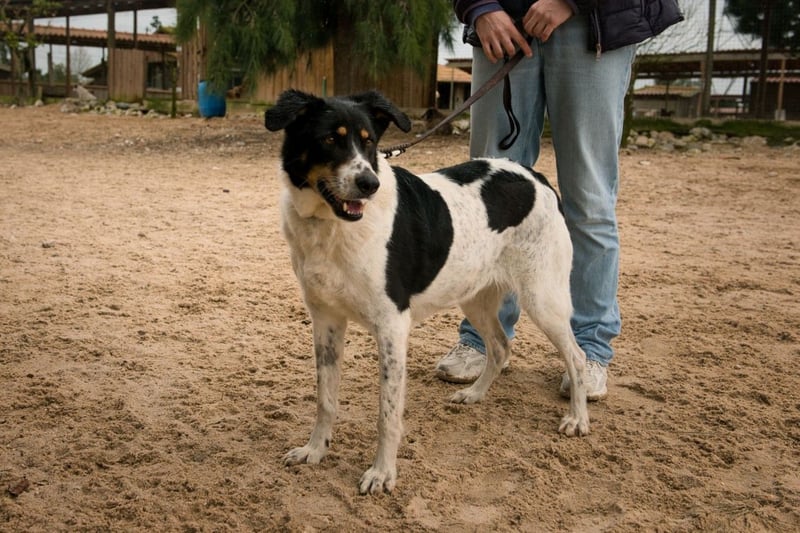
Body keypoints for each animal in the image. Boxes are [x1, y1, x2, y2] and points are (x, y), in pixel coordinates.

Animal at [264, 90, 589, 495]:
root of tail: (536, 176)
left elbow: (387, 413)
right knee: (500, 347)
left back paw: (577, 418)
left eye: (369, 142)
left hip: (543, 298)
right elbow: (325, 398)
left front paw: (382, 473)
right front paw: (315, 450)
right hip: (475, 296)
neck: (330, 225)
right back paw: (474, 394)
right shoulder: (325, 319)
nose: (369, 184)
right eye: (329, 139)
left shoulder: (392, 326)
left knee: (576, 356)